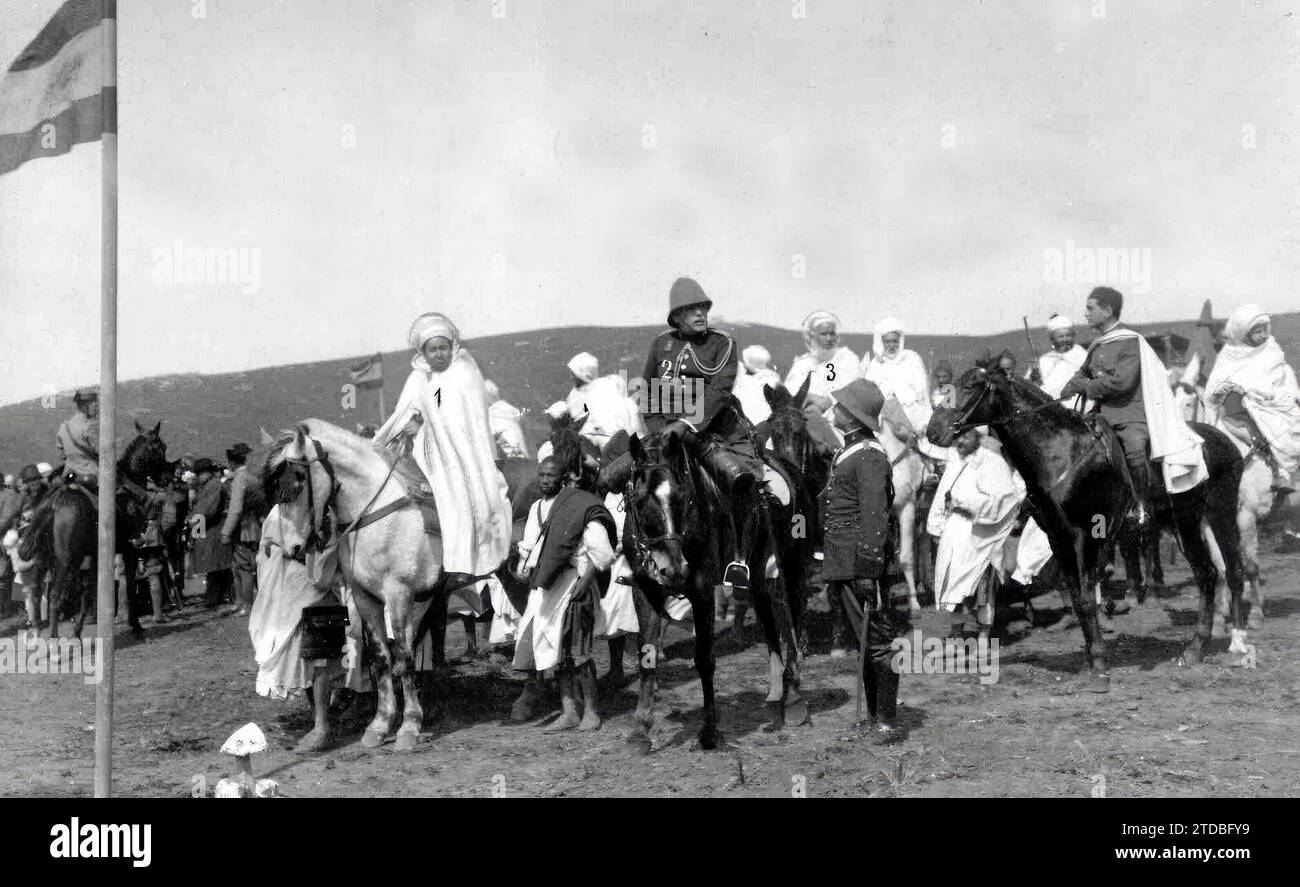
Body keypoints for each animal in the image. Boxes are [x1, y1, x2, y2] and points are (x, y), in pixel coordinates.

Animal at [930, 356, 1242, 681]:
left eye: (971, 386)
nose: (932, 432)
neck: (1060, 451)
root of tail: (1224, 441)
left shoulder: (1085, 536)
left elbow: (1087, 596)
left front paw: (1100, 663)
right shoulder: (1058, 538)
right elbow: (1077, 596)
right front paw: (1091, 658)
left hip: (1211, 517)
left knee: (1220, 572)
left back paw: (1215, 644)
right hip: (1184, 523)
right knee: (1212, 573)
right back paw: (1204, 643)